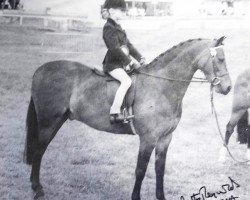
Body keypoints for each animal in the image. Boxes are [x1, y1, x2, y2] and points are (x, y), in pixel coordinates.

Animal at [23, 36, 230, 200]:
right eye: (220, 59)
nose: (227, 88)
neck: (161, 86)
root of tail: (41, 69)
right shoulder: (148, 139)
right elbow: (140, 170)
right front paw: (135, 196)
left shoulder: (165, 138)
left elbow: (160, 169)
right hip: (48, 122)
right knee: (39, 151)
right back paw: (37, 189)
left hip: (57, 121)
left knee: (40, 150)